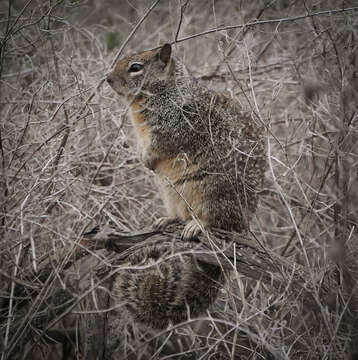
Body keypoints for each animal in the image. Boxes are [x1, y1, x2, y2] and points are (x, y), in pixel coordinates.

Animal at [107, 43, 266, 239]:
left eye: (135, 67)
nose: (107, 79)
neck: (166, 89)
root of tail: (245, 222)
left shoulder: (173, 127)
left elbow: (159, 145)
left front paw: (147, 158)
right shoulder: (142, 135)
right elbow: (141, 146)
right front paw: (141, 157)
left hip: (212, 192)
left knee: (217, 221)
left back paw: (196, 225)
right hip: (170, 193)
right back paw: (167, 219)